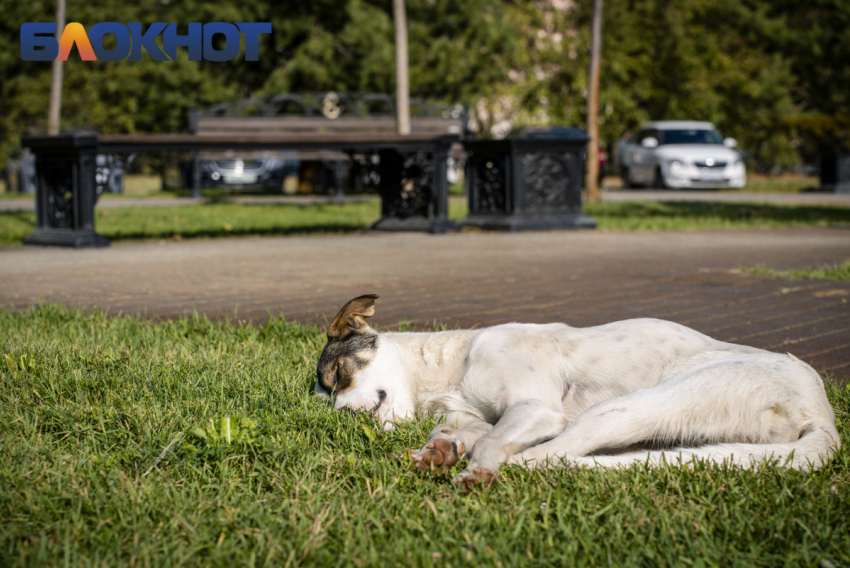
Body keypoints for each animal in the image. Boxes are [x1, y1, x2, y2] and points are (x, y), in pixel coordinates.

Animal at [314, 296, 840, 486]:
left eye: (337, 375)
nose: (337, 417)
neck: (451, 371)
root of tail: (823, 415)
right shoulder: (488, 416)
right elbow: (471, 432)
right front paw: (441, 448)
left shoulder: (538, 410)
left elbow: (490, 441)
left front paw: (475, 464)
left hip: (630, 406)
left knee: (550, 457)